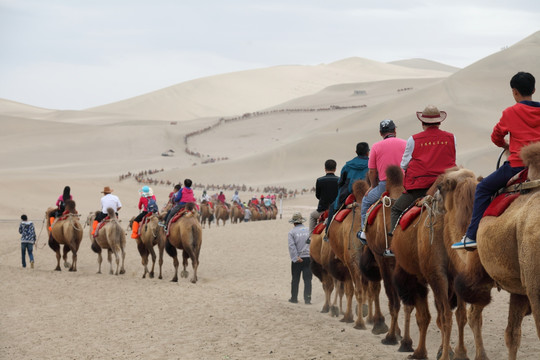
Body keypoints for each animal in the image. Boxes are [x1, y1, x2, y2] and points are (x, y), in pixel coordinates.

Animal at [324, 179, 388, 334]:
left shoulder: (349, 262)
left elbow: (350, 290)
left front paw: (348, 316)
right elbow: (369, 290)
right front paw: (369, 318)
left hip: (353, 261)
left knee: (358, 290)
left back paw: (359, 323)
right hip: (374, 262)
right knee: (374, 289)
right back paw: (378, 323)